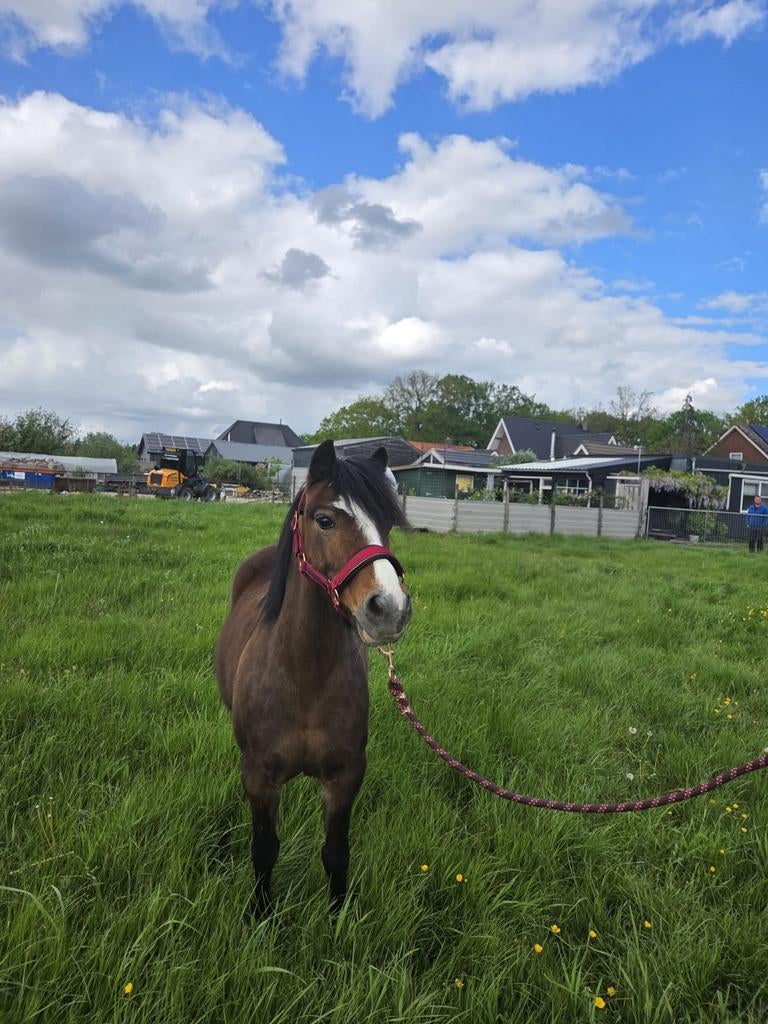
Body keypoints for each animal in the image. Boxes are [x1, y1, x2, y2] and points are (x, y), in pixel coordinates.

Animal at [215, 439, 411, 915]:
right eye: (325, 520)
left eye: (387, 523)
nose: (390, 609)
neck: (304, 673)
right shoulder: (259, 778)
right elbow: (264, 849)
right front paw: (261, 914)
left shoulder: (345, 776)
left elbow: (336, 852)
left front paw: (338, 916)